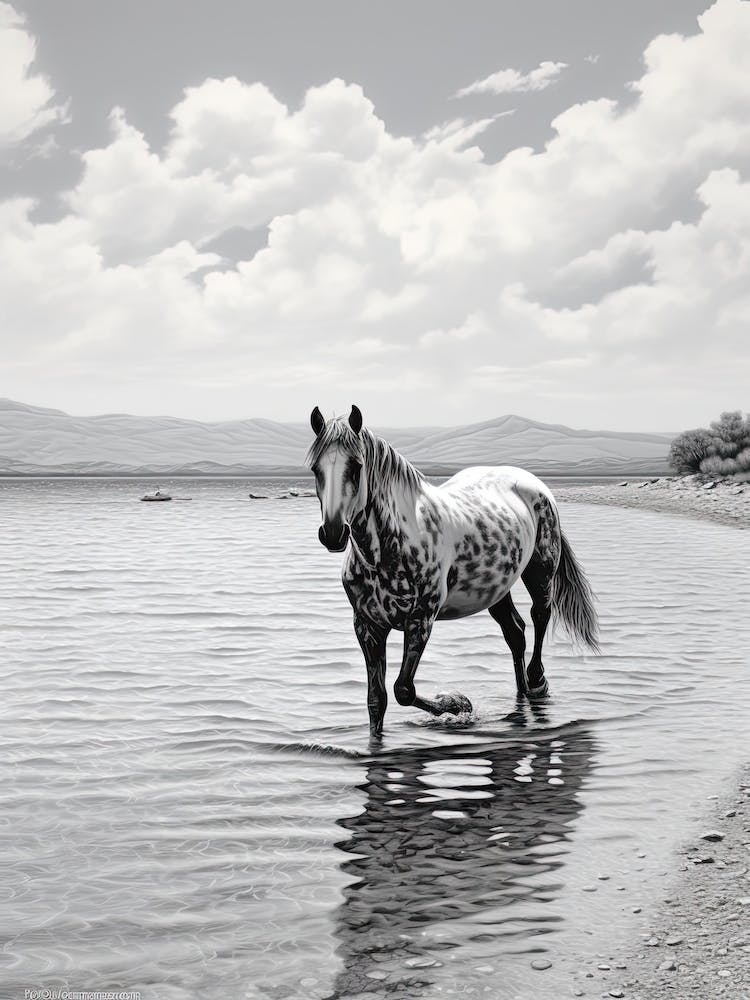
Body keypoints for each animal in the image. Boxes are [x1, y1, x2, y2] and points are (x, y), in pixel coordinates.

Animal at [307, 404, 599, 737]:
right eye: (316, 469)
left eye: (356, 467)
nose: (333, 533)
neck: (385, 551)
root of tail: (535, 484)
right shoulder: (367, 626)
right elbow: (376, 700)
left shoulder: (421, 619)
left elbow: (403, 689)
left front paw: (458, 704)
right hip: (496, 589)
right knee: (515, 633)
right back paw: (522, 695)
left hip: (540, 569)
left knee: (540, 614)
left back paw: (537, 682)